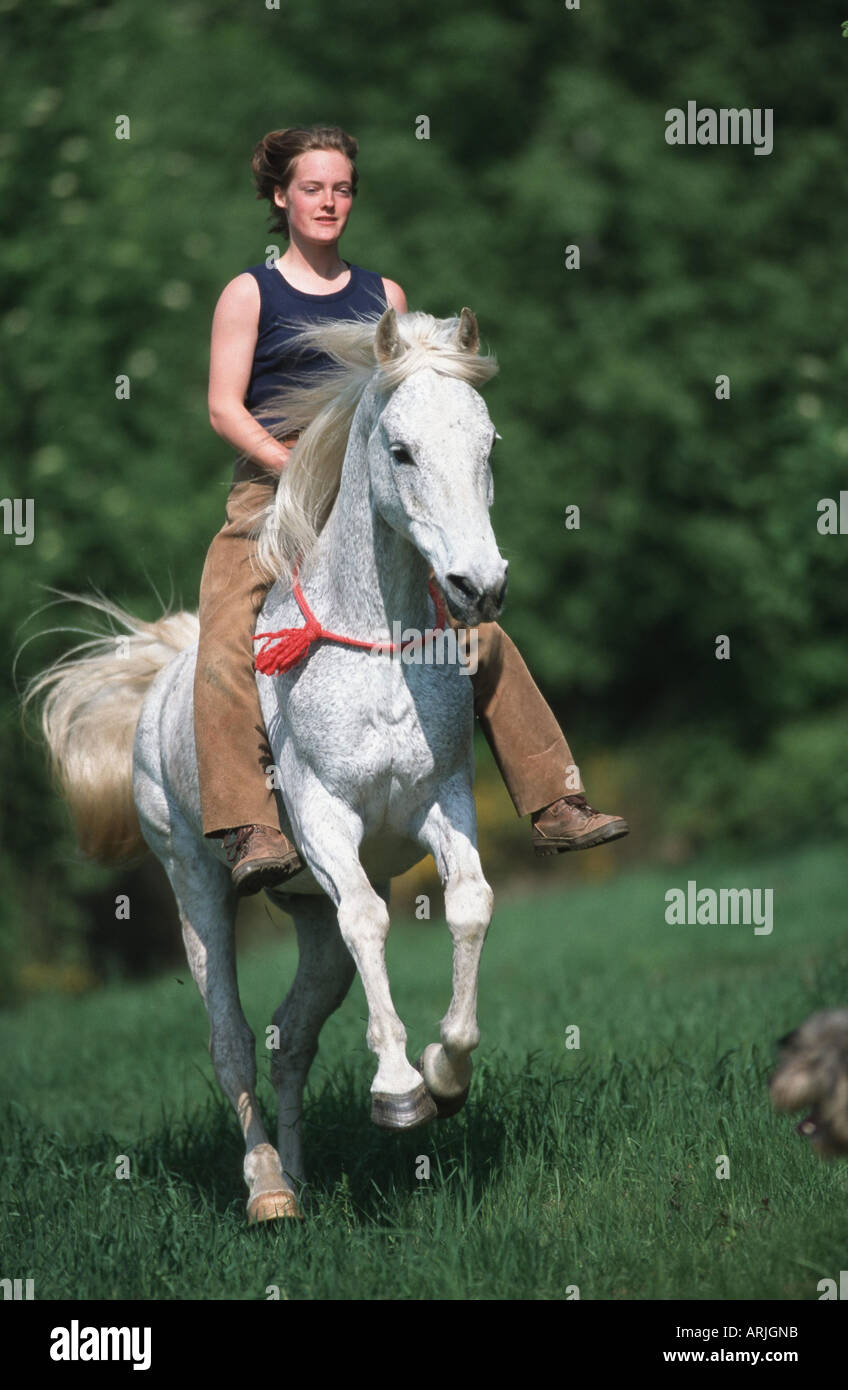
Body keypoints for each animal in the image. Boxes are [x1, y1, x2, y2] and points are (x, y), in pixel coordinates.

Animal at [29, 309, 506, 1223]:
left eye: (487, 442)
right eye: (400, 450)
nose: (480, 585)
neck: (376, 651)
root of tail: (161, 683)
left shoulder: (443, 801)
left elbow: (469, 903)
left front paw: (445, 1072)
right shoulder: (323, 819)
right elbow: (372, 920)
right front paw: (398, 1091)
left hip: (309, 921)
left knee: (293, 1038)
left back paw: (302, 1175)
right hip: (196, 885)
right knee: (234, 1042)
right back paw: (268, 1190)